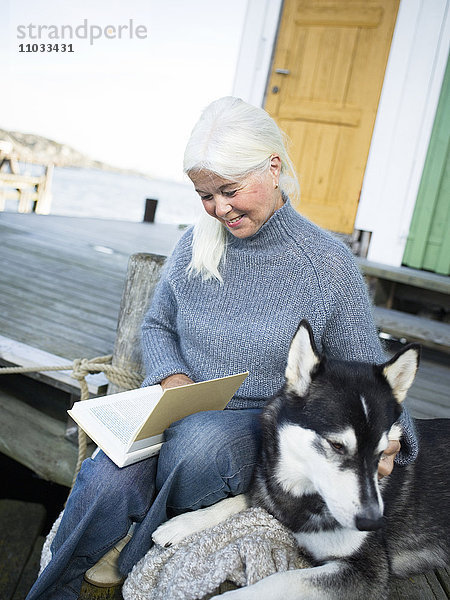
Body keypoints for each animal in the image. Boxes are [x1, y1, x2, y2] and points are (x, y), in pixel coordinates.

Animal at [153, 322, 448, 600]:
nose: (372, 522)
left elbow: (282, 580)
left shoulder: (367, 572)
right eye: (337, 445)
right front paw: (182, 524)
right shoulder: (268, 493)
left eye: (382, 453)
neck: (303, 496)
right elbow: (234, 500)